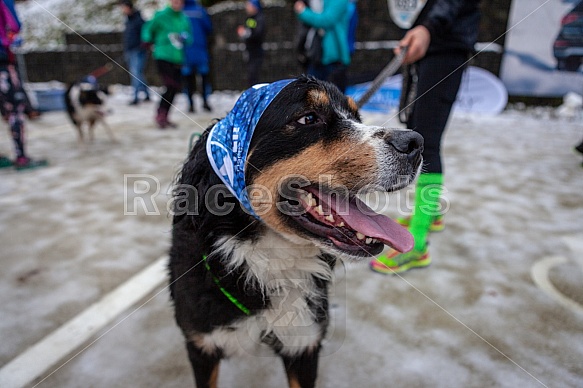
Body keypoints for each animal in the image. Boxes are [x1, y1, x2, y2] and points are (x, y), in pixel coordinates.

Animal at [169, 76, 424, 388]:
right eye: (308, 118)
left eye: (357, 116)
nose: (415, 142)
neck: (265, 264)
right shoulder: (201, 345)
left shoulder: (304, 344)